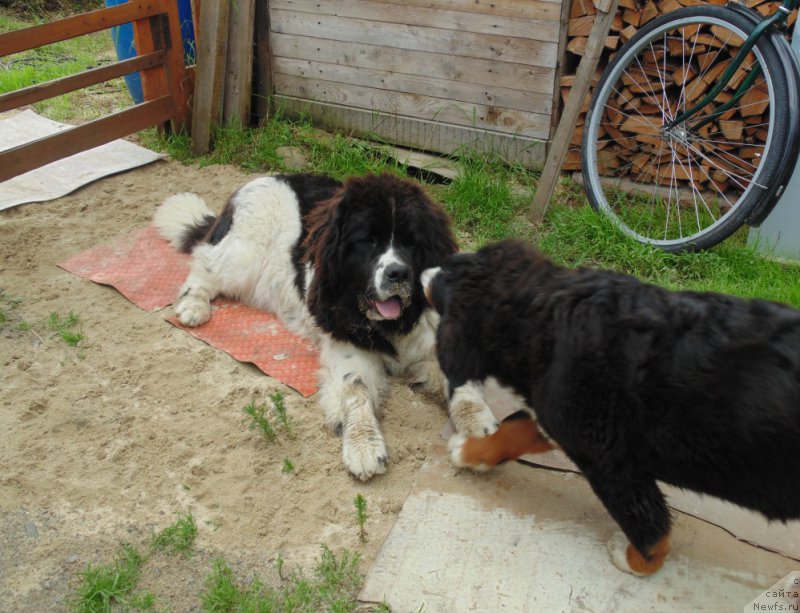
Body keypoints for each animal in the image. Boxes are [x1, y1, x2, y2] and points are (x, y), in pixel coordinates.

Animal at [153, 171, 496, 478]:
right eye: (368, 242)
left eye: (412, 244)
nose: (398, 273)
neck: (391, 324)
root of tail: (261, 180)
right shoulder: (349, 346)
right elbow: (355, 390)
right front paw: (363, 447)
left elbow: (463, 385)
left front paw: (478, 424)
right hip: (242, 258)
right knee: (204, 267)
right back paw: (193, 306)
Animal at [418, 239, 800, 572]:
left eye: (445, 279)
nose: (422, 272)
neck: (544, 314)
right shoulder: (561, 413)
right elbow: (515, 429)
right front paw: (471, 452)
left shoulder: (609, 460)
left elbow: (650, 526)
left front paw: (637, 561)